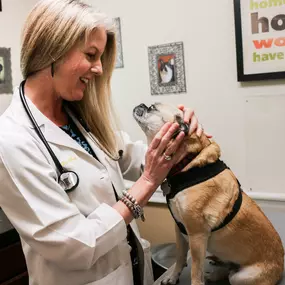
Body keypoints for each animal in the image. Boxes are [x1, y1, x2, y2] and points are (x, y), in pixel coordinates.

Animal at [132, 102, 282, 284]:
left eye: (152, 108)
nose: (140, 104)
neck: (188, 162)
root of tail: (281, 266)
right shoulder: (180, 229)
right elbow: (180, 258)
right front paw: (173, 277)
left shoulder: (197, 236)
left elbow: (196, 272)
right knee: (226, 268)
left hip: (239, 277)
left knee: (230, 274)